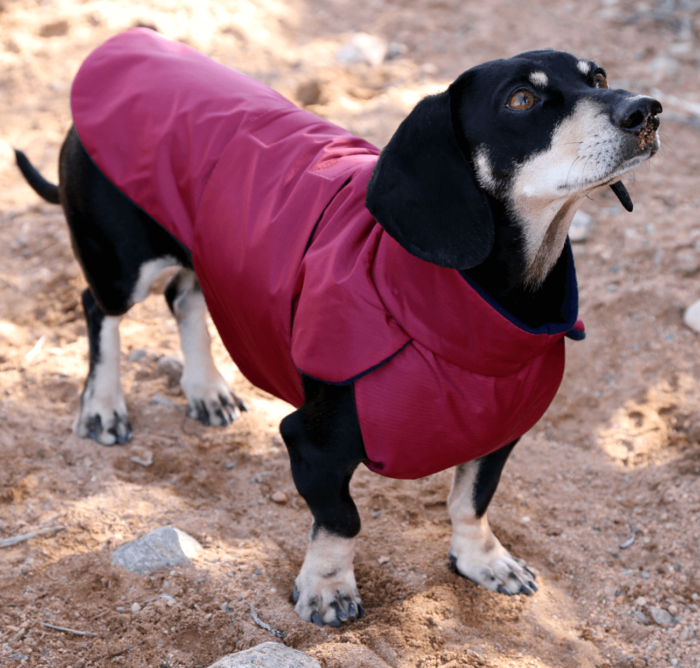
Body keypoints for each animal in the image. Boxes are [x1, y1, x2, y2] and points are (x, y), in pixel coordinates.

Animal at [17, 30, 660, 628]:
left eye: (599, 76)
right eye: (522, 99)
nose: (647, 110)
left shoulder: (499, 434)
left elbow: (470, 503)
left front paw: (482, 560)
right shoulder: (313, 445)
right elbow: (341, 520)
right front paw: (327, 588)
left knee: (187, 296)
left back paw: (206, 390)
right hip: (121, 263)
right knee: (100, 307)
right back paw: (104, 405)